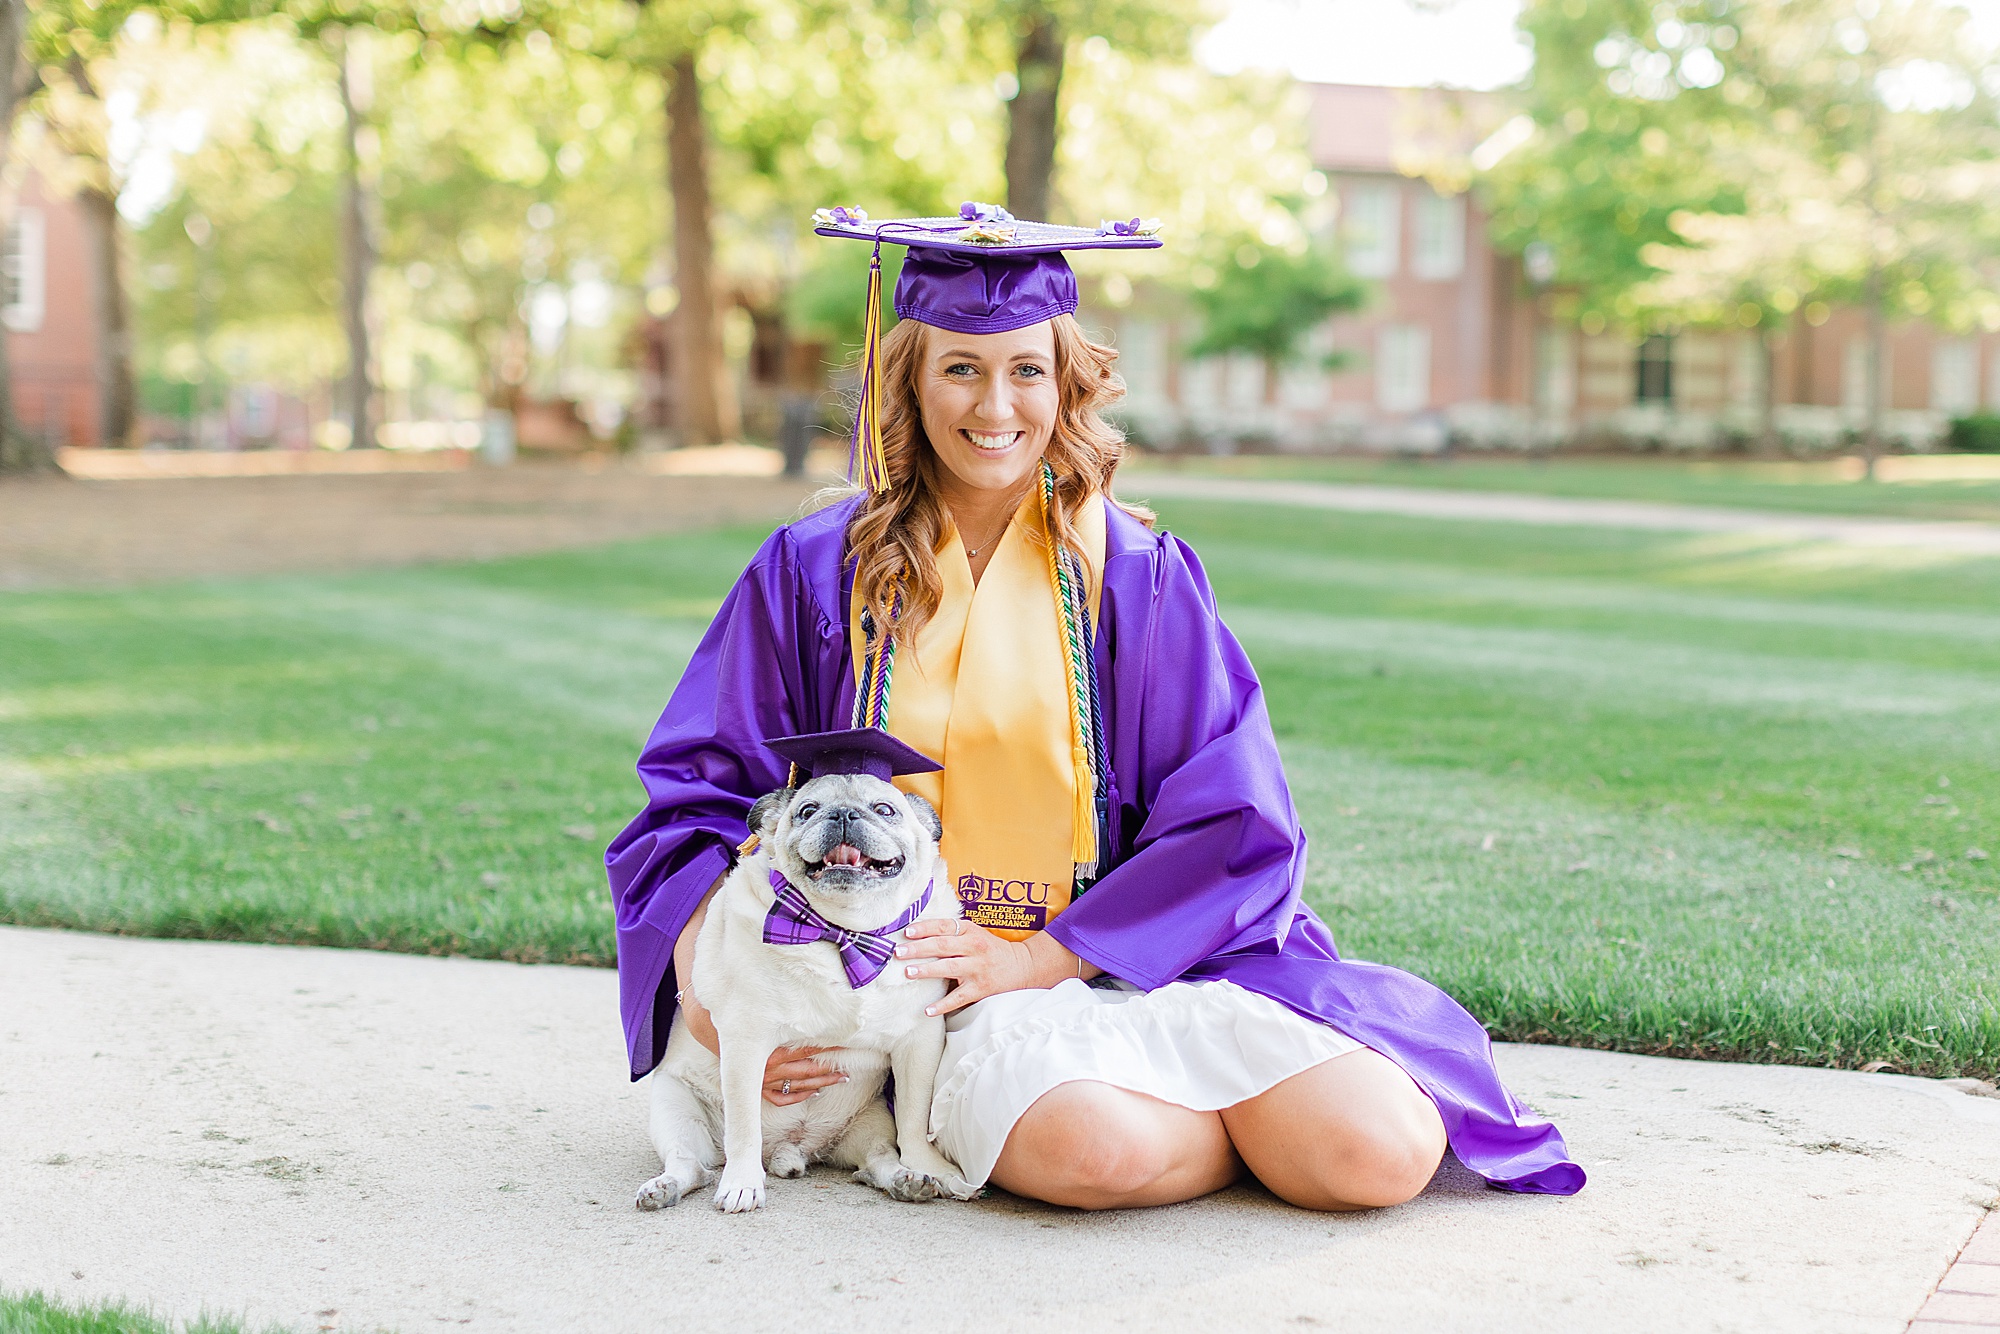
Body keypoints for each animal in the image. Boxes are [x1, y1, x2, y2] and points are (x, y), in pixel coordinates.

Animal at [632, 768, 976, 1216]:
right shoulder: (746, 1044)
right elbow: (743, 1126)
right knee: (691, 1164)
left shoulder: (919, 1043)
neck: (847, 933)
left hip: (872, 1122)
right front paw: (742, 1183)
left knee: (877, 1160)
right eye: (808, 810)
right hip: (675, 1109)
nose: (843, 813)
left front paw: (930, 1167)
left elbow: (915, 1119)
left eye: (885, 810)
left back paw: (906, 1179)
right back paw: (666, 1187)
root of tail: (790, 1149)